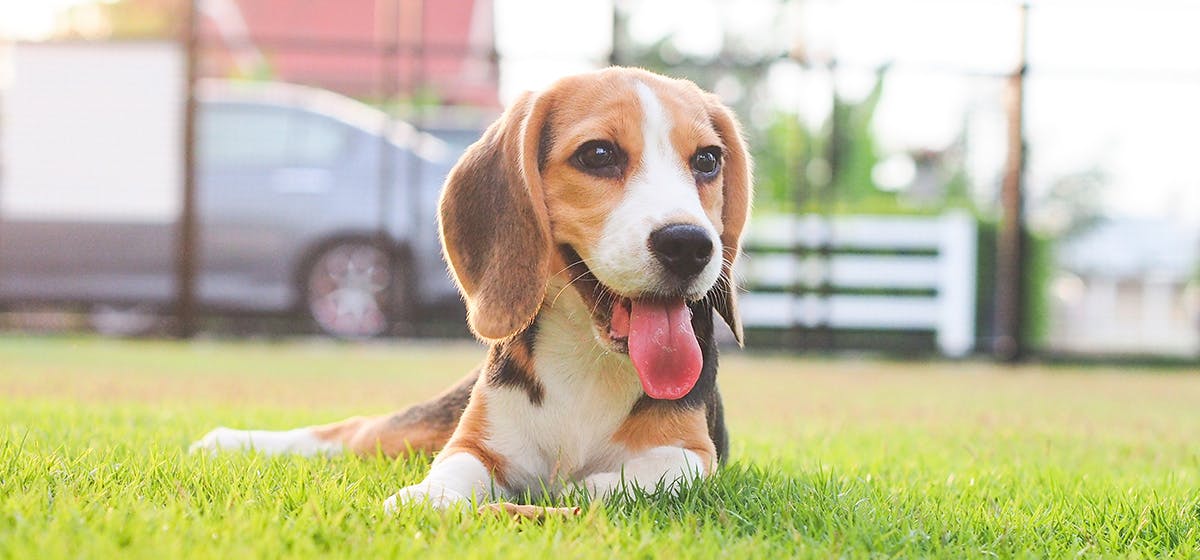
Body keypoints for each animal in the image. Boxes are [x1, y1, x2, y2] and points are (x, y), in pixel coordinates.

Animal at [189, 68, 748, 510]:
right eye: (598, 154)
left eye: (707, 161)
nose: (689, 245)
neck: (588, 362)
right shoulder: (475, 442)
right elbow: (455, 467)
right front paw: (426, 497)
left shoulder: (698, 453)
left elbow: (660, 471)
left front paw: (582, 488)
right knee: (351, 431)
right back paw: (226, 441)